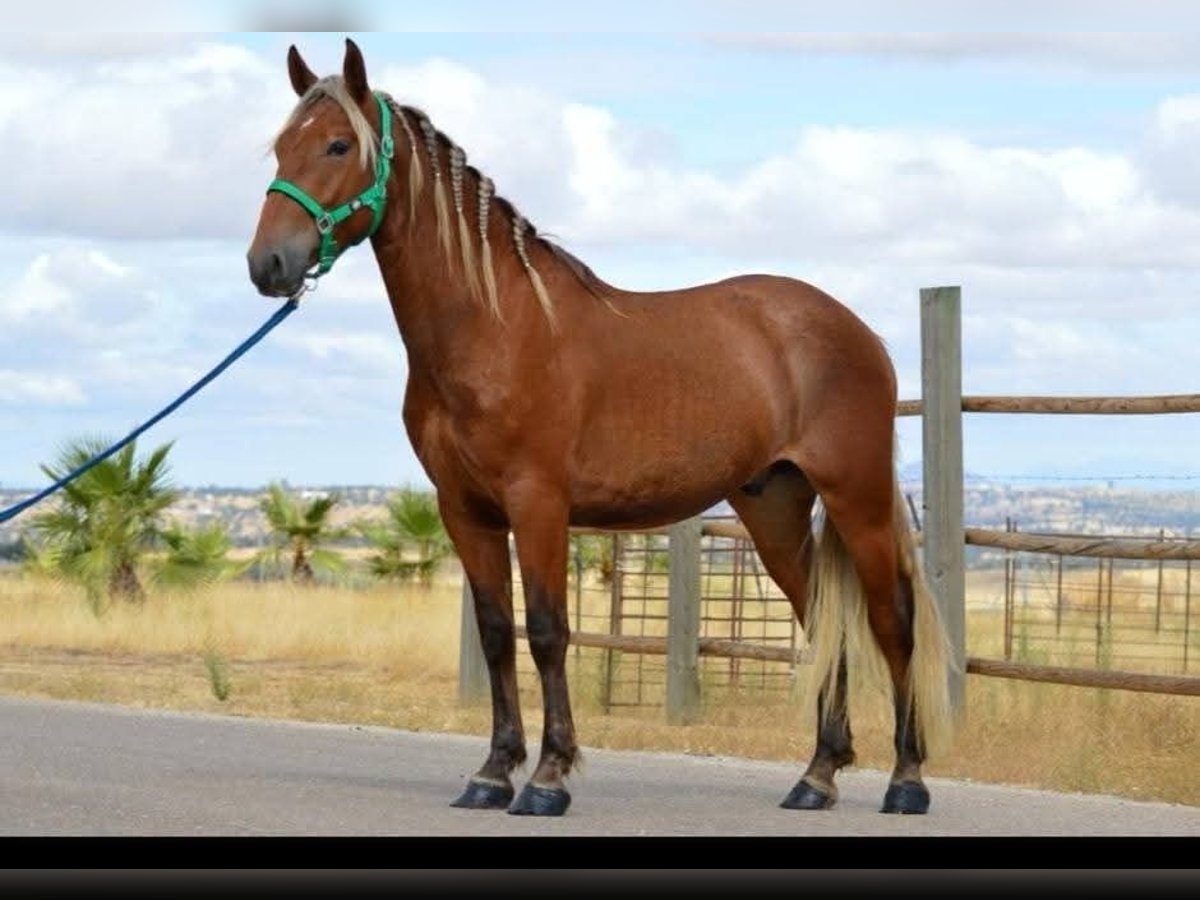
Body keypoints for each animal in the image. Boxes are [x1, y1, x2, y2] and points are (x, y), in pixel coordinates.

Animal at [247, 38, 955, 817]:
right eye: (281, 147)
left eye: (339, 145)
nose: (268, 264)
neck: (493, 325)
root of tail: (856, 330)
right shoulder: (465, 510)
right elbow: (497, 633)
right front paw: (493, 772)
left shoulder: (539, 503)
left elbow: (548, 631)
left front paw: (548, 778)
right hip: (773, 506)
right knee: (820, 620)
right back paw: (816, 776)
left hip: (858, 499)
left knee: (893, 622)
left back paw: (907, 781)